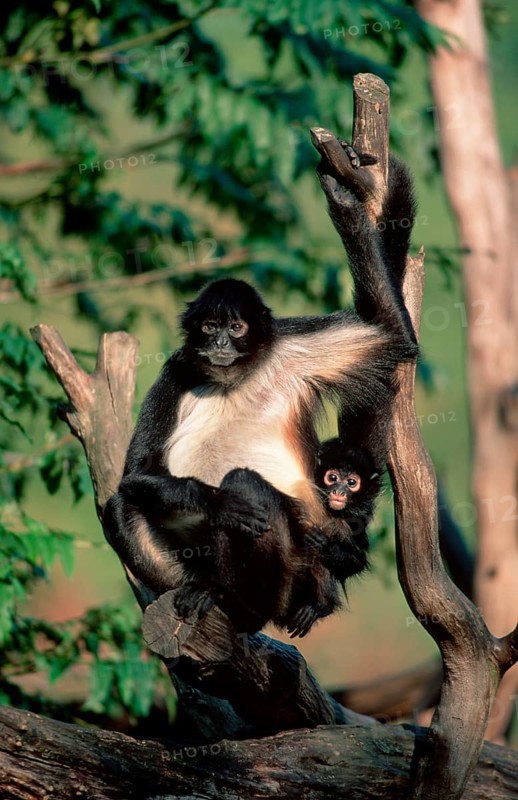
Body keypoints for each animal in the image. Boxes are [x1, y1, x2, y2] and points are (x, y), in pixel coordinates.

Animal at [104, 139, 417, 639]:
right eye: (209, 327)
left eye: (235, 327)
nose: (219, 344)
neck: (234, 378)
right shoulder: (177, 370)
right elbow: (135, 474)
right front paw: (220, 502)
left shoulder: (289, 343)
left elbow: (393, 335)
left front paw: (341, 195)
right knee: (122, 505)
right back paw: (204, 585)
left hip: (296, 569)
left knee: (249, 484)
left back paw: (236, 604)